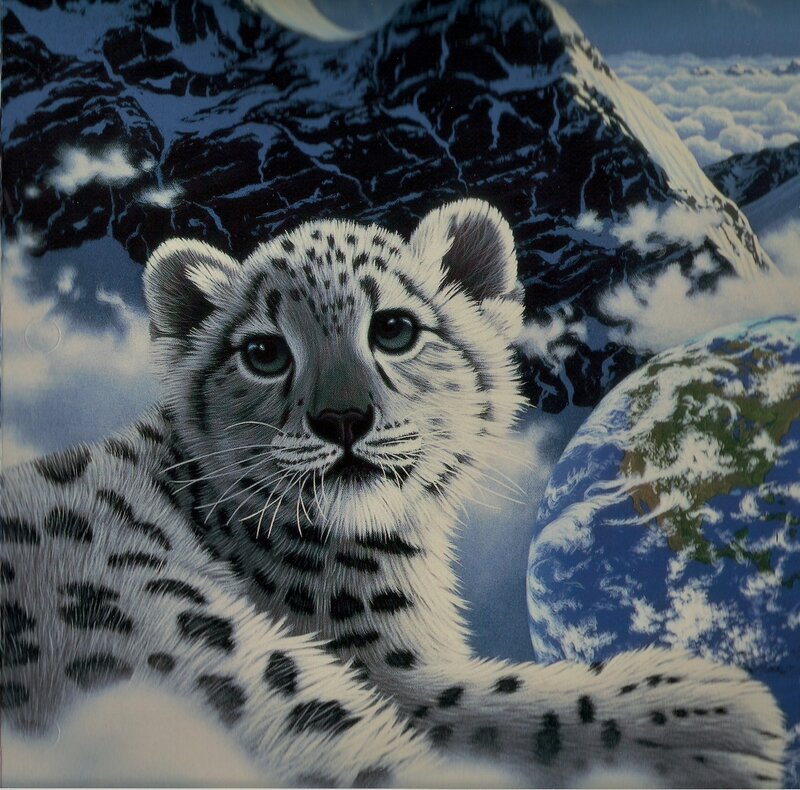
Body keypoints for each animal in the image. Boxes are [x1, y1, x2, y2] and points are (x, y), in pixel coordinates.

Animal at [0, 199, 787, 787]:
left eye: (396, 328)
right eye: (263, 351)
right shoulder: (384, 664)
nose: (343, 418)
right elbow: (484, 702)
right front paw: (717, 716)